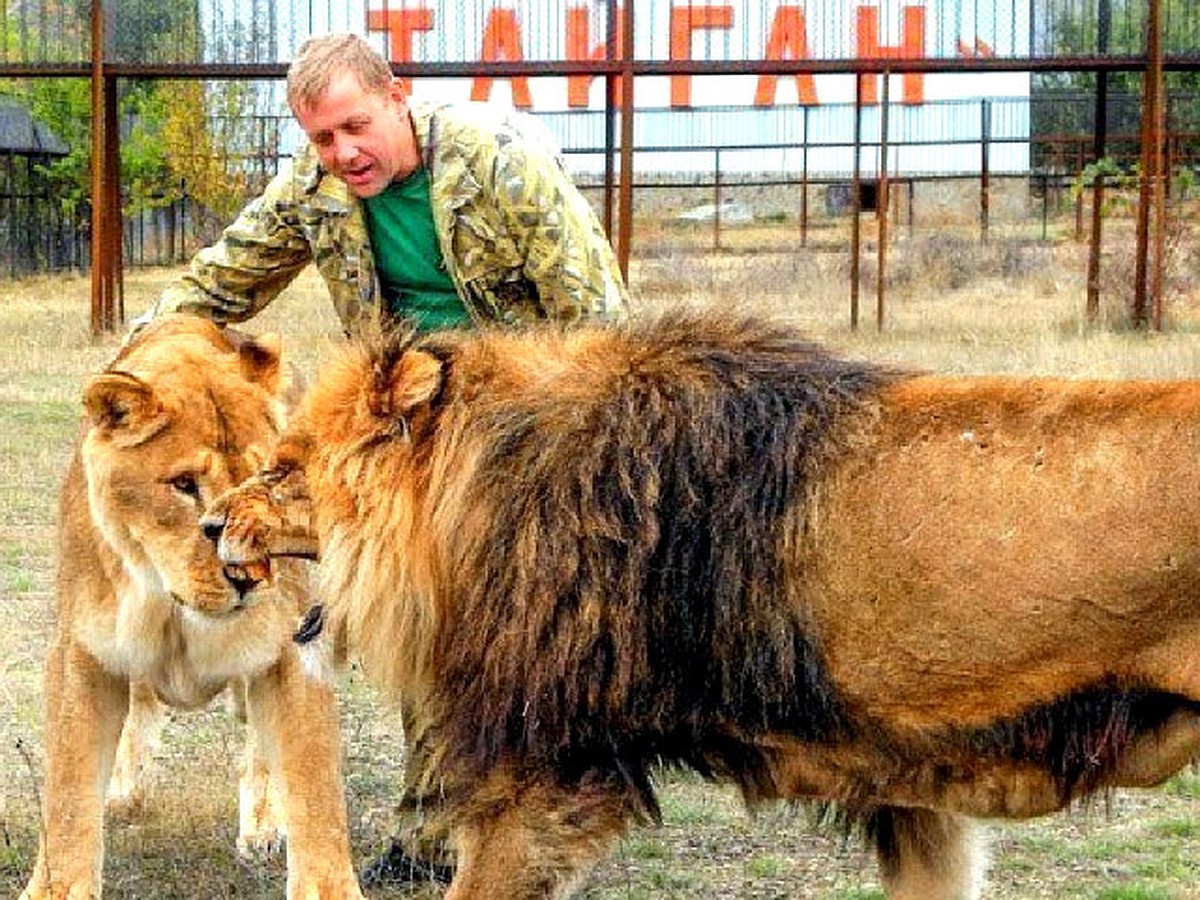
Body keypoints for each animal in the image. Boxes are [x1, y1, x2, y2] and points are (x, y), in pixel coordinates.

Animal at [22, 314, 360, 900]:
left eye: (264, 480)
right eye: (183, 484)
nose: (247, 577)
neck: (168, 605)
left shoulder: (293, 652)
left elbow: (315, 791)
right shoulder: (83, 657)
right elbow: (67, 795)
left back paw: (264, 826)